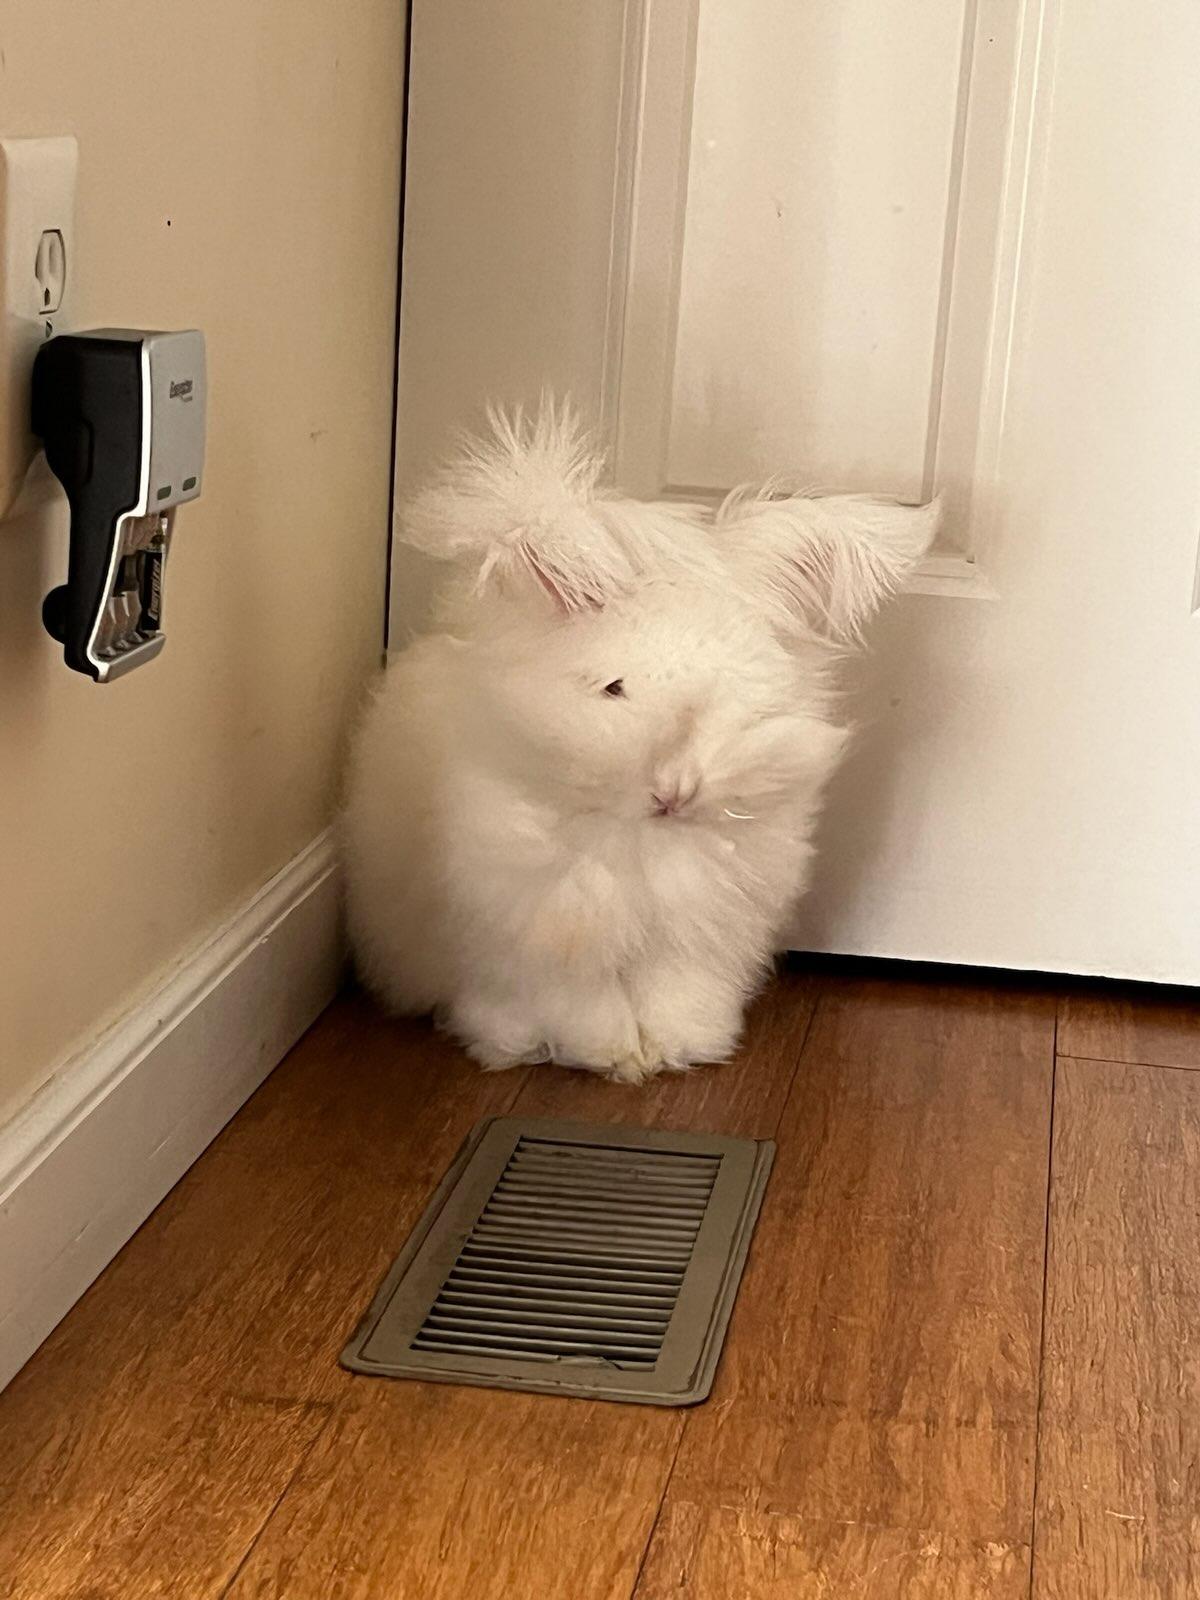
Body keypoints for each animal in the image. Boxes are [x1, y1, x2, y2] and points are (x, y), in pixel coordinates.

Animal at [344, 401, 937, 1082]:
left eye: (735, 697)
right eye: (614, 688)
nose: (676, 788)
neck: (639, 843)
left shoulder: (698, 935)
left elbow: (675, 993)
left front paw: (678, 1048)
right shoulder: (543, 938)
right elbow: (580, 1004)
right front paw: (606, 1055)